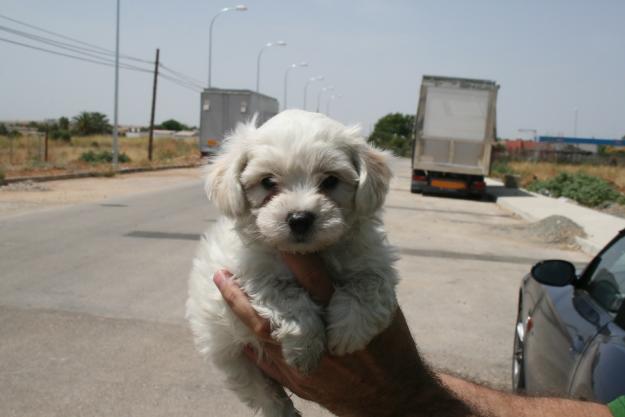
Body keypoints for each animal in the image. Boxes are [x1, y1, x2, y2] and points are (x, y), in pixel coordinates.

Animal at [186, 109, 400, 414]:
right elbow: (286, 296)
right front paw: (305, 347)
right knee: (265, 394)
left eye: (330, 181)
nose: (300, 219)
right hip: (234, 359)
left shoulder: (372, 258)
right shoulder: (249, 273)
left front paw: (349, 331)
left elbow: (370, 285)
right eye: (268, 182)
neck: (309, 253)